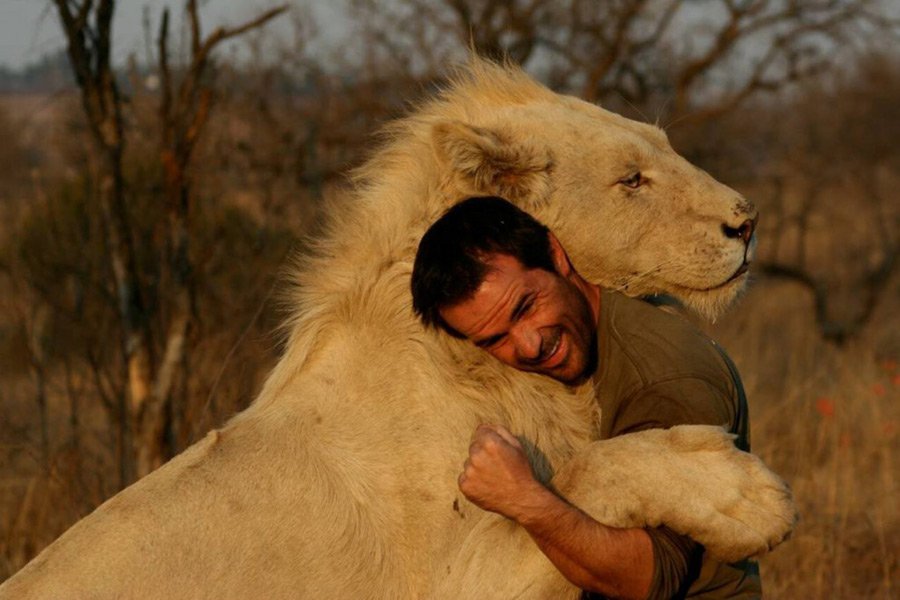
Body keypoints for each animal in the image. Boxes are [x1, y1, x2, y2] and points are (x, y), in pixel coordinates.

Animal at [0, 58, 796, 596]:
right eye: (631, 179)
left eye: (664, 144)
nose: (747, 221)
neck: (487, 368)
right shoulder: (449, 582)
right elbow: (588, 470)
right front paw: (740, 493)